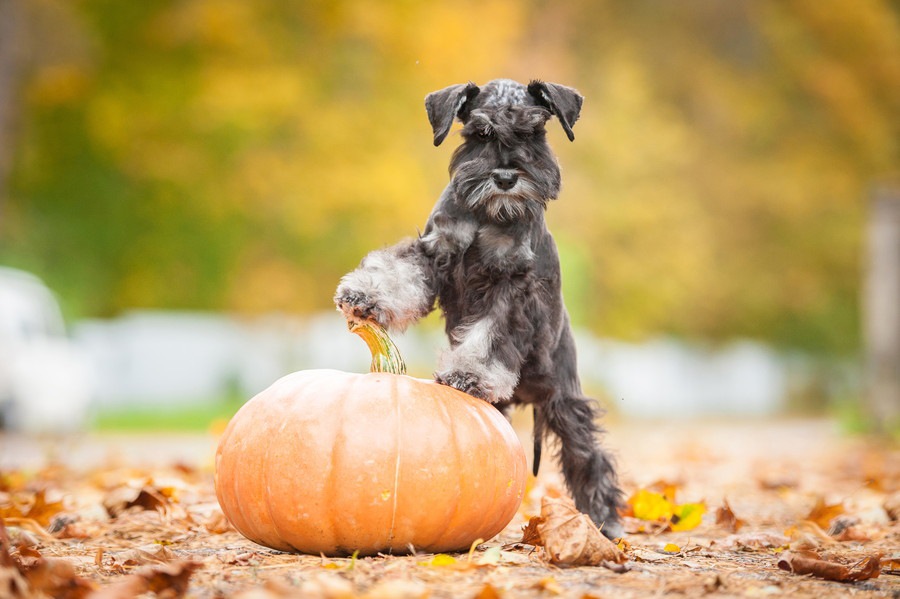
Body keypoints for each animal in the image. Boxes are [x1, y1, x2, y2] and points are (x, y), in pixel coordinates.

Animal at [334, 78, 624, 540]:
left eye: (533, 132)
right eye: (479, 133)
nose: (505, 177)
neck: (488, 215)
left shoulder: (510, 287)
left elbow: (489, 335)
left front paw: (468, 373)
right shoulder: (434, 252)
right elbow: (399, 270)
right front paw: (364, 294)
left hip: (563, 399)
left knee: (587, 453)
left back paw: (604, 518)